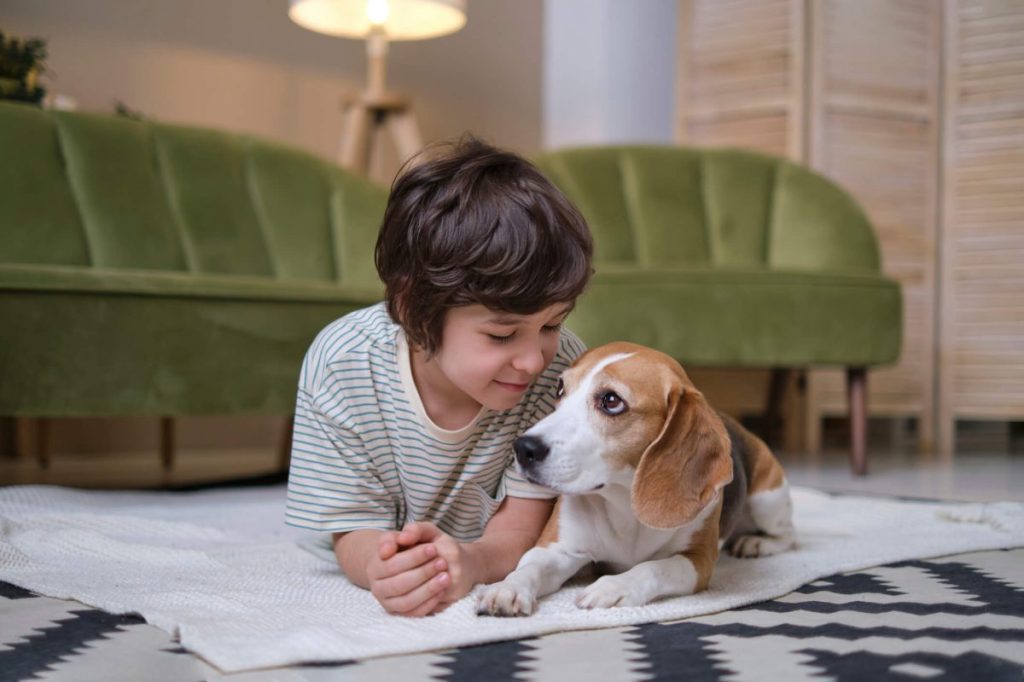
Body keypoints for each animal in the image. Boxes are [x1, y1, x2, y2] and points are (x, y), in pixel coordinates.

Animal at [475, 342, 794, 614]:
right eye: (560, 388)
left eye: (611, 400)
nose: (523, 448)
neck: (624, 502)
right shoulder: (557, 549)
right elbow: (528, 567)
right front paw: (507, 588)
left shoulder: (698, 560)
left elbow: (653, 567)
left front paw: (613, 587)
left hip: (767, 501)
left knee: (790, 537)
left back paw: (757, 544)